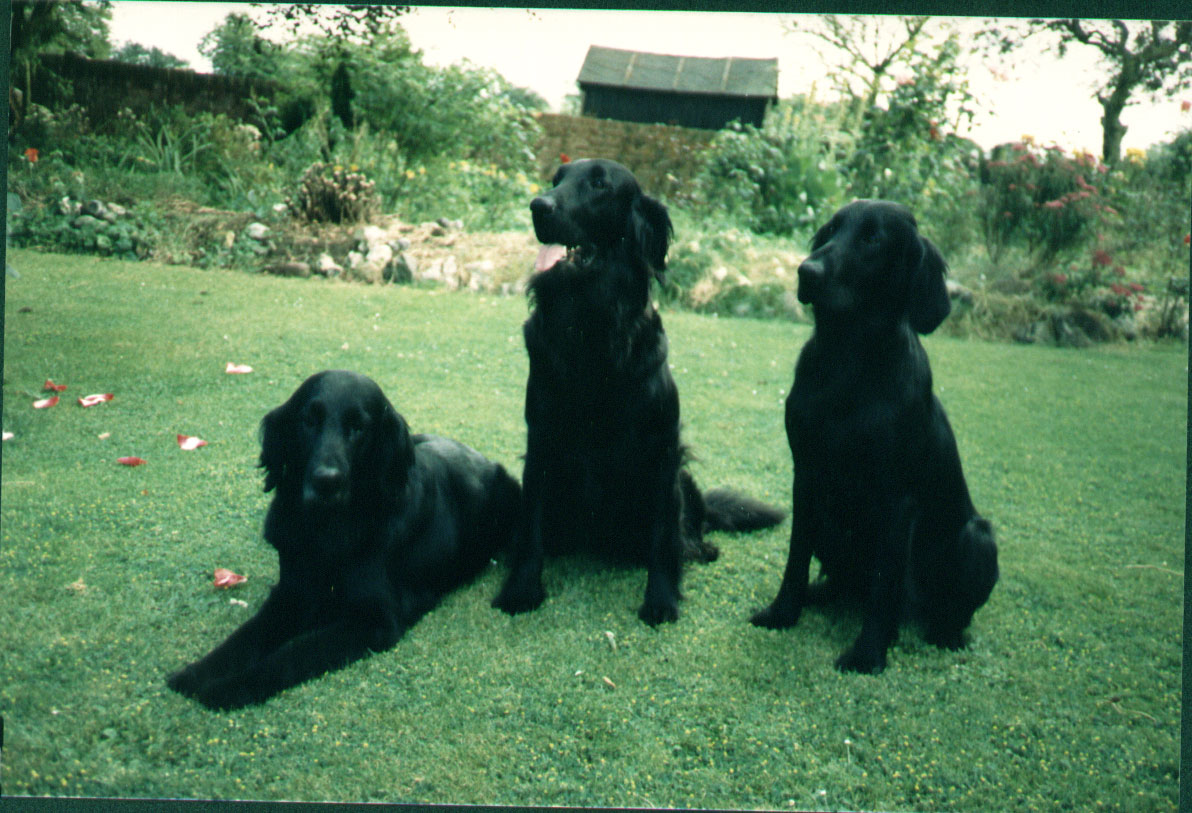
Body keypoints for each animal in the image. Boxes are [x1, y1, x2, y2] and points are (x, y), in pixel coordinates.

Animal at [168, 369, 522, 705]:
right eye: (309, 421)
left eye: (358, 428)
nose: (326, 481)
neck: (329, 529)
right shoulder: (291, 593)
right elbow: (245, 638)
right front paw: (196, 673)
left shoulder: (374, 621)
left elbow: (294, 653)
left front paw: (229, 688)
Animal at [488, 159, 786, 624]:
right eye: (556, 180)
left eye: (599, 183)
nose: (538, 205)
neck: (590, 328)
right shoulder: (541, 440)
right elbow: (531, 525)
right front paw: (520, 589)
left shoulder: (662, 450)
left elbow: (664, 537)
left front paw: (660, 600)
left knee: (689, 529)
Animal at [753, 197, 996, 672]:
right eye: (830, 230)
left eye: (873, 239)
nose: (806, 272)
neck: (848, 364)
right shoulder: (806, 477)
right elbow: (795, 558)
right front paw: (783, 612)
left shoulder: (897, 497)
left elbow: (886, 583)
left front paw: (867, 653)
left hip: (979, 538)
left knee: (945, 609)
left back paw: (944, 633)